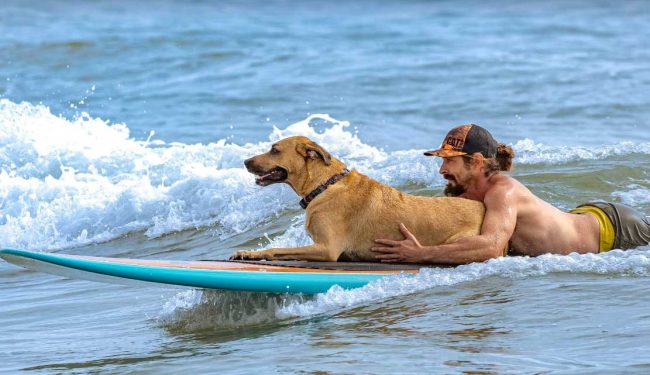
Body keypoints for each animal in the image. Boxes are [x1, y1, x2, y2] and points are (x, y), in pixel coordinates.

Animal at [230, 137, 484, 262]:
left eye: (274, 150)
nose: (244, 162)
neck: (324, 185)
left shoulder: (326, 249)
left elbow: (278, 249)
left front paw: (252, 253)